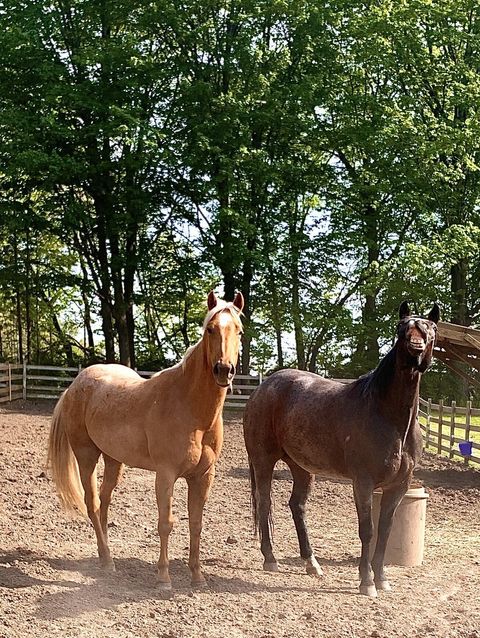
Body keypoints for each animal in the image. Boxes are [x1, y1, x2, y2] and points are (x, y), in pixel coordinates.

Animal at [47, 290, 244, 592]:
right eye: (210, 329)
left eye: (239, 331)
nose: (224, 370)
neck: (189, 407)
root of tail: (76, 384)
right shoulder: (166, 474)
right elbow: (166, 523)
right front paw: (163, 578)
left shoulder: (202, 476)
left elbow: (196, 524)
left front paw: (197, 577)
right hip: (86, 456)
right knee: (93, 504)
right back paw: (108, 562)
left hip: (113, 460)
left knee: (104, 502)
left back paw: (104, 556)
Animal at [244, 302, 438, 596]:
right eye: (401, 327)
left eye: (432, 328)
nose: (415, 348)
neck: (389, 418)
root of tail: (261, 388)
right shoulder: (363, 482)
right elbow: (367, 530)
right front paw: (366, 582)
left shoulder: (399, 486)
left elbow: (385, 530)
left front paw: (382, 579)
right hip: (263, 461)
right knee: (265, 503)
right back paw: (270, 559)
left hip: (302, 467)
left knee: (297, 506)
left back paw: (311, 563)